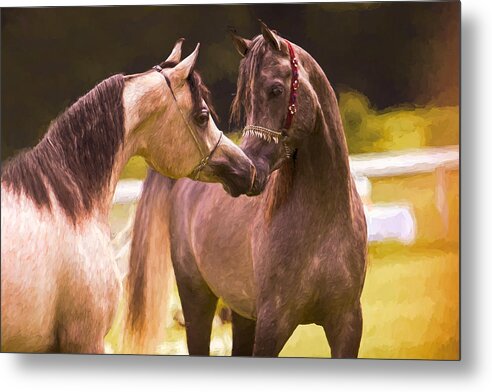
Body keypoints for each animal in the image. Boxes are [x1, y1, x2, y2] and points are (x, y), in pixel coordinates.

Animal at [128, 24, 368, 358]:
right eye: (245, 99)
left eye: (276, 90)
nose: (250, 170)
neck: (322, 223)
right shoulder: (272, 324)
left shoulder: (347, 324)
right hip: (197, 301)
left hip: (242, 314)